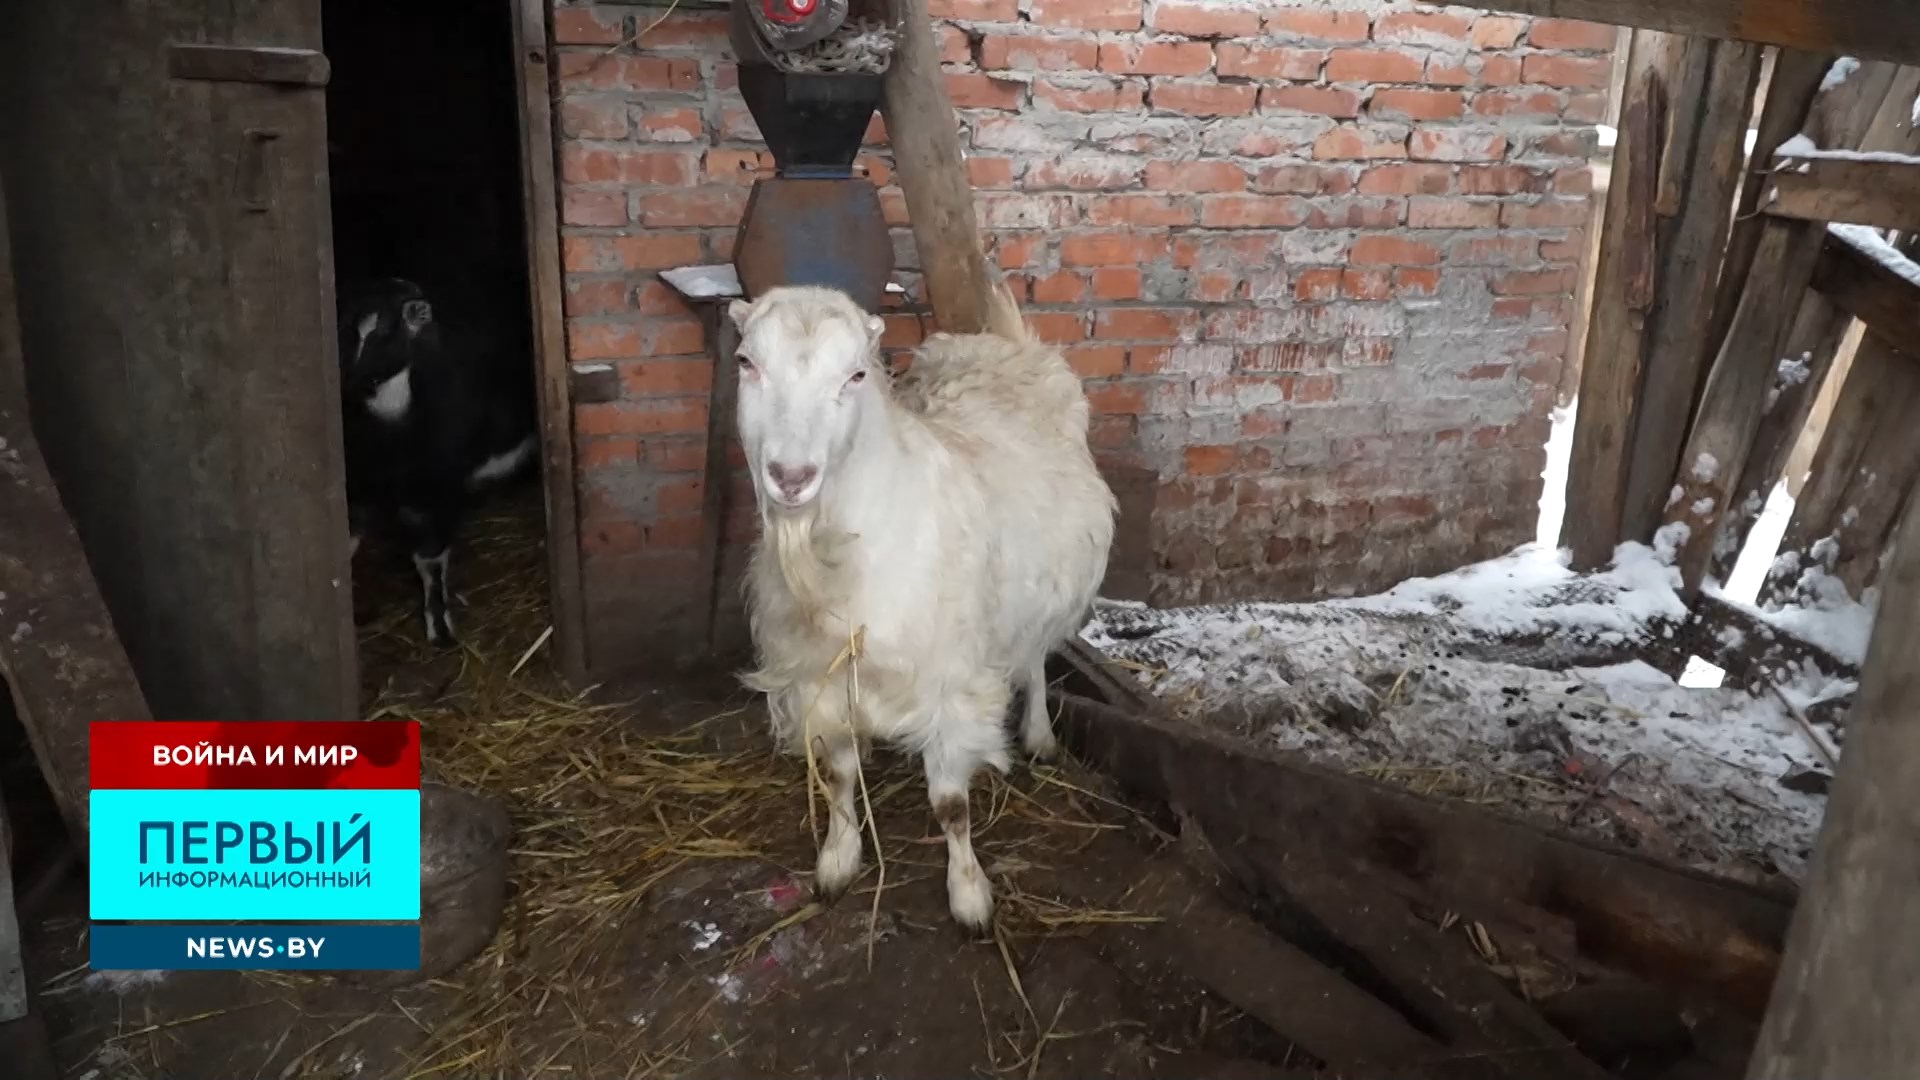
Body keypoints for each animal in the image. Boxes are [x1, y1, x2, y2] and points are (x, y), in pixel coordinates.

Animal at [337, 276, 538, 646]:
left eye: (386, 329)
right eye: (348, 328)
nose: (355, 382)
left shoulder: (440, 491)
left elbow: (430, 559)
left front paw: (440, 627)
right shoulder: (357, 489)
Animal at [729, 283, 1116, 932]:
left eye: (857, 374)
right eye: (746, 363)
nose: (791, 475)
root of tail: (999, 342)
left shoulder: (952, 686)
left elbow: (951, 805)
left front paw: (969, 895)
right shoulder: (824, 680)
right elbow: (839, 777)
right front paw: (838, 860)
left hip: (1043, 595)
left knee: (1036, 657)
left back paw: (1039, 735)